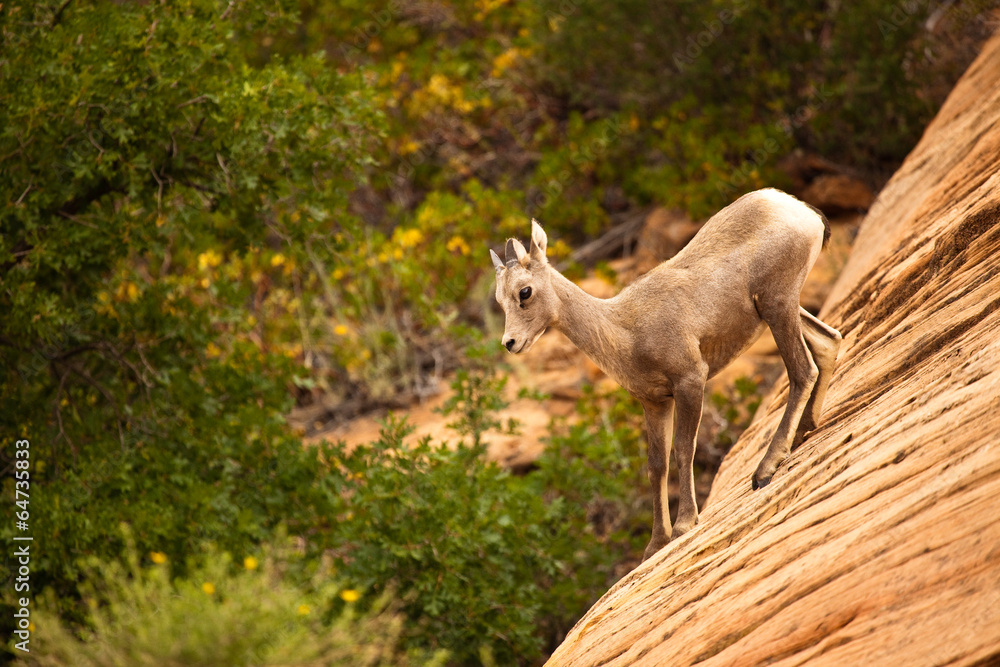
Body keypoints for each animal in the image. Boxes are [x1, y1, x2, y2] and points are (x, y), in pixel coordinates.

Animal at [490, 188, 842, 560]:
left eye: (524, 292)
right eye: (500, 299)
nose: (510, 343)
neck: (626, 331)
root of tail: (799, 210)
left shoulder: (690, 381)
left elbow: (684, 449)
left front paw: (685, 524)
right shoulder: (655, 403)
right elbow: (656, 465)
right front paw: (655, 545)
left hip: (778, 305)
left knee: (802, 370)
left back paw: (765, 471)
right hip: (783, 310)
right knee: (828, 341)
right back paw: (804, 432)